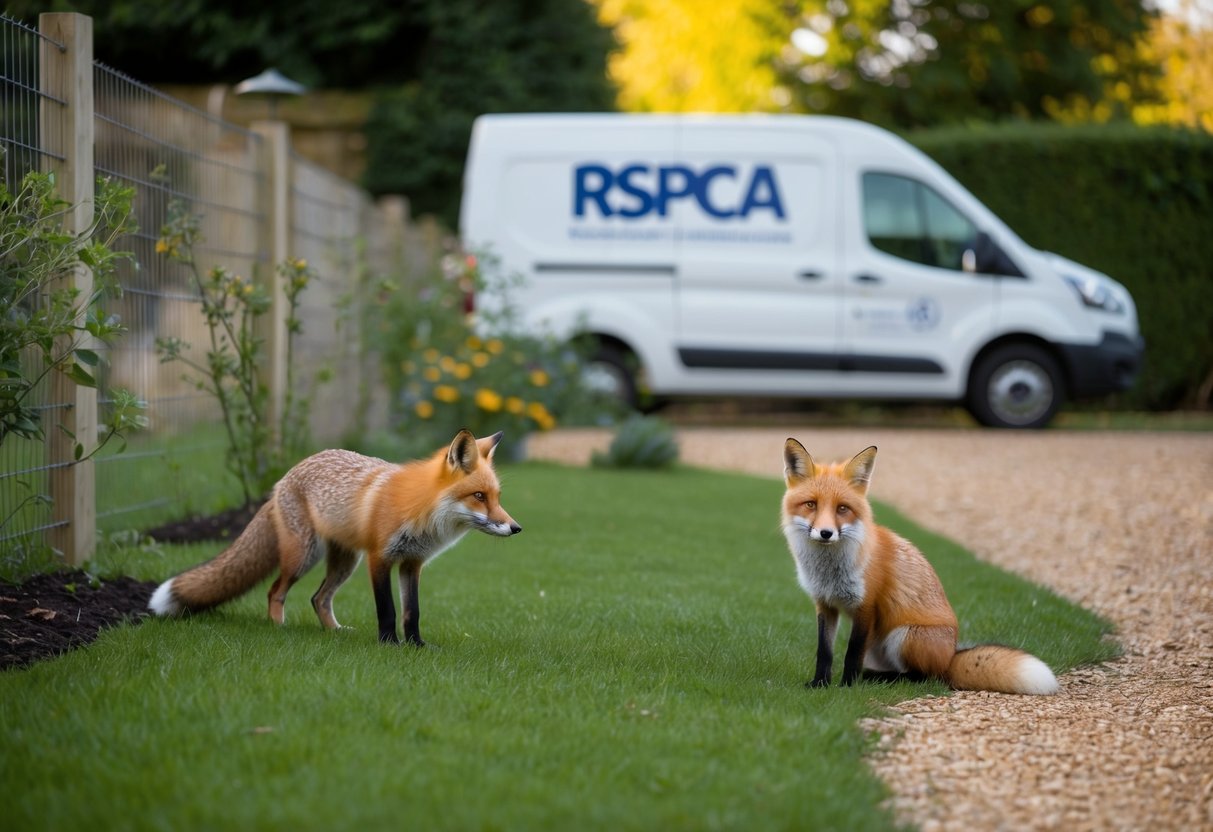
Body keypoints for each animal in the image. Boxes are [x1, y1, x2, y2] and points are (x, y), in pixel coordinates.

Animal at [148, 429, 521, 646]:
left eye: (497, 497)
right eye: (478, 496)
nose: (516, 528)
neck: (422, 513)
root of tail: (283, 480)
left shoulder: (412, 563)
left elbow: (411, 611)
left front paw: (416, 646)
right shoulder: (379, 558)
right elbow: (387, 609)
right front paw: (389, 644)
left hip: (344, 562)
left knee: (318, 598)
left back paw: (334, 631)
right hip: (304, 556)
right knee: (275, 590)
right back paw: (278, 627)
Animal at [780, 438, 1058, 695]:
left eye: (842, 508)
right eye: (811, 504)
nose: (826, 533)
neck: (828, 571)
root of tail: (951, 656)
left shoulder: (866, 606)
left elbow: (851, 654)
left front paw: (846, 687)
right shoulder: (825, 604)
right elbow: (824, 651)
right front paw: (820, 684)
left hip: (903, 636)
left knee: (923, 677)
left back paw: (879, 679)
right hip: (880, 645)